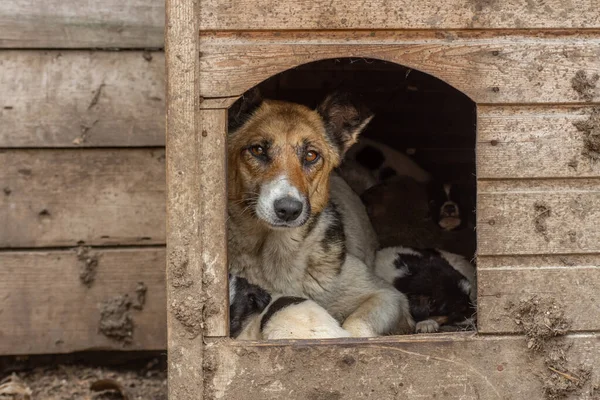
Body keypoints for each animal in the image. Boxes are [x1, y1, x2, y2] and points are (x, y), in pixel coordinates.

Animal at [227, 91, 414, 338]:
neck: (276, 252)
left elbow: (356, 326)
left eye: (311, 155)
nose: (288, 210)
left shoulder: (388, 296)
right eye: (257, 150)